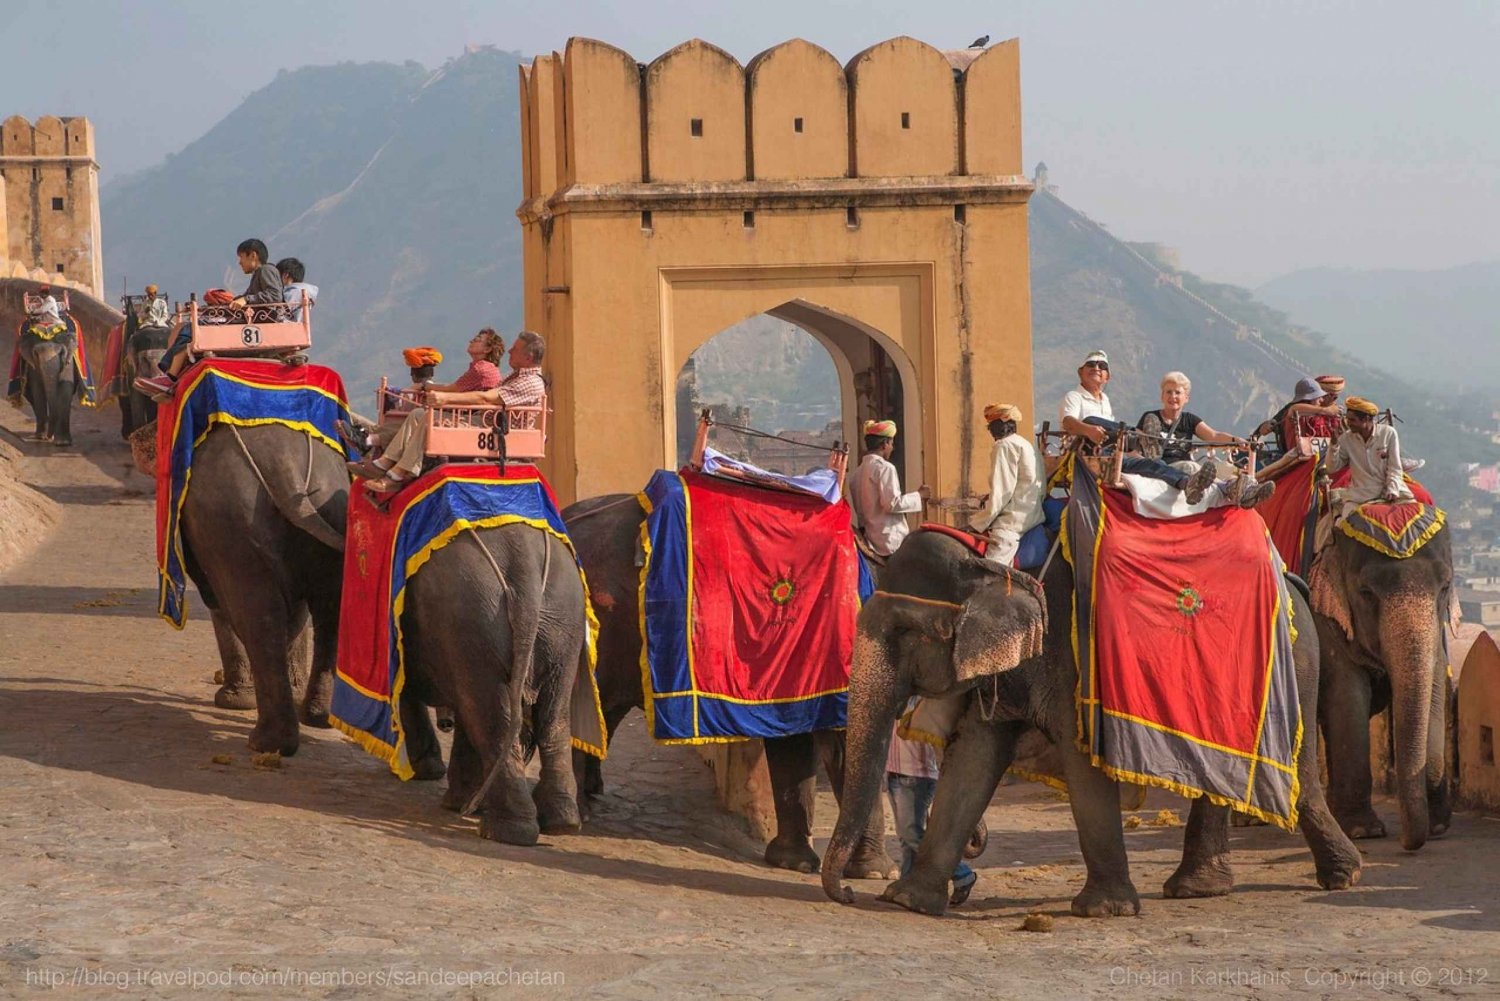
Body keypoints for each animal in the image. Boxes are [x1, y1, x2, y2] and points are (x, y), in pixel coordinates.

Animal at [393, 525, 591, 846]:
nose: (444, 722)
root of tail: (525, 571)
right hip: (564, 623)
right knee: (553, 716)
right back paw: (562, 823)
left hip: (472, 617)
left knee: (490, 718)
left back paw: (503, 830)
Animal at [822, 531, 1362, 918]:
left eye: (904, 631)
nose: (847, 893)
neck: (995, 562)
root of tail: (1292, 578)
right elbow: (973, 759)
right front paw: (907, 901)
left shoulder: (1076, 658)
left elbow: (1083, 762)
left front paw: (1104, 911)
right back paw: (1200, 889)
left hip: (1294, 666)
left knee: (1298, 774)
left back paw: (1342, 877)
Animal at [1314, 513, 1452, 852]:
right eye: (1366, 592)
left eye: (1445, 586)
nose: (1406, 842)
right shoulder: (1325, 617)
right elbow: (1347, 696)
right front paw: (1364, 831)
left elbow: (1435, 689)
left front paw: (1438, 825)